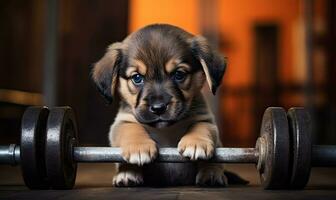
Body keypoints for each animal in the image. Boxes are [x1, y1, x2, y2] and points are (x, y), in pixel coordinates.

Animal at [92, 24, 228, 187]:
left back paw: (212, 174)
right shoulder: (122, 122)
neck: (166, 129)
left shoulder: (205, 119)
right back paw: (127, 175)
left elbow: (201, 127)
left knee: (214, 164)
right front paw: (139, 147)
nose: (158, 108)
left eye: (179, 74)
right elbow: (131, 129)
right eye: (137, 78)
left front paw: (196, 143)